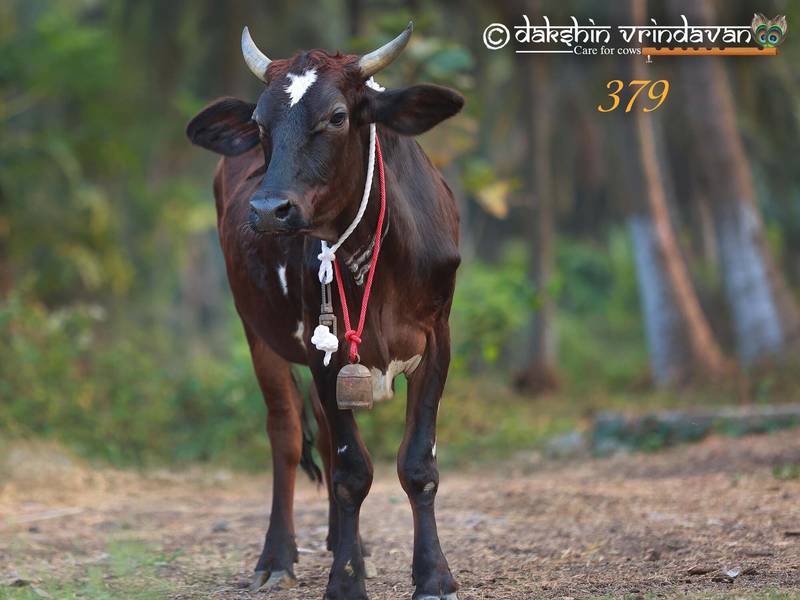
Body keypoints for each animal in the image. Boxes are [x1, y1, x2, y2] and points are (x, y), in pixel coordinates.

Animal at [186, 22, 463, 600]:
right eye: (259, 122)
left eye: (337, 116)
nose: (268, 210)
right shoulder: (322, 349)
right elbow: (351, 471)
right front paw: (345, 582)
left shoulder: (438, 339)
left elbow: (418, 464)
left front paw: (433, 575)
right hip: (257, 332)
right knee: (288, 435)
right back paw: (279, 556)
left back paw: (345, 543)